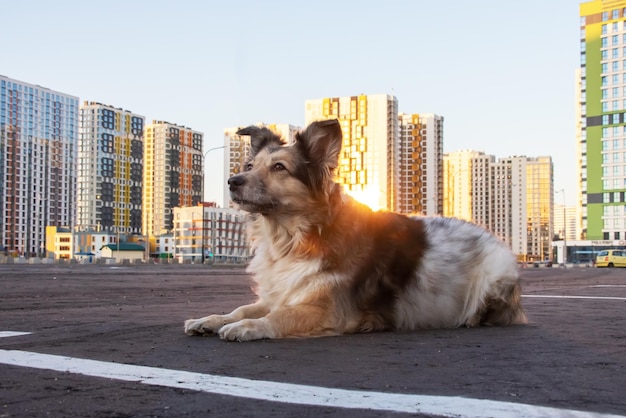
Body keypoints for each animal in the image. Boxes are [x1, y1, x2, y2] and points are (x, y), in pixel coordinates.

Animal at [183, 119, 524, 342]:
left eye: (279, 168)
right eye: (250, 166)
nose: (233, 181)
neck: (296, 235)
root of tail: (489, 235)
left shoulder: (329, 310)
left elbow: (278, 317)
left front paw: (248, 328)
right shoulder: (285, 291)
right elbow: (242, 308)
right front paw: (210, 320)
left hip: (496, 274)